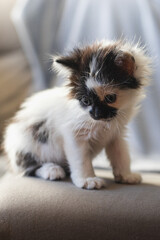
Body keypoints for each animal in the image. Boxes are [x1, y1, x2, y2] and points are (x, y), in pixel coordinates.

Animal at [3, 39, 151, 189]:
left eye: (110, 98)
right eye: (86, 101)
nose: (96, 114)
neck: (102, 124)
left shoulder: (117, 135)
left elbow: (121, 155)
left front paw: (126, 175)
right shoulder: (74, 135)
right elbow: (81, 160)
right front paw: (87, 180)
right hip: (27, 144)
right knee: (29, 168)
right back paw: (52, 169)